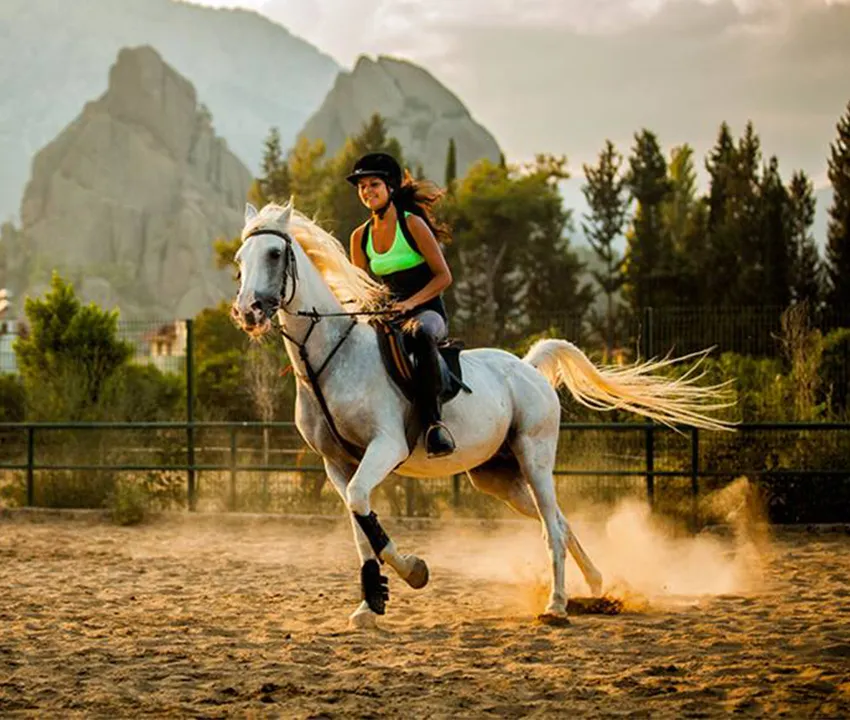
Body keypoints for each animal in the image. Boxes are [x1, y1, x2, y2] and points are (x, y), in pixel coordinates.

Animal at [231, 201, 733, 628]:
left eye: (275, 253)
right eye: (240, 259)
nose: (247, 313)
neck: (330, 360)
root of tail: (528, 368)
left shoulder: (384, 447)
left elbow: (362, 508)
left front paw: (414, 572)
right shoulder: (336, 464)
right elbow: (359, 523)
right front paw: (371, 604)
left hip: (535, 458)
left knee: (552, 526)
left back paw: (557, 605)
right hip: (500, 477)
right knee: (559, 520)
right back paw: (594, 587)